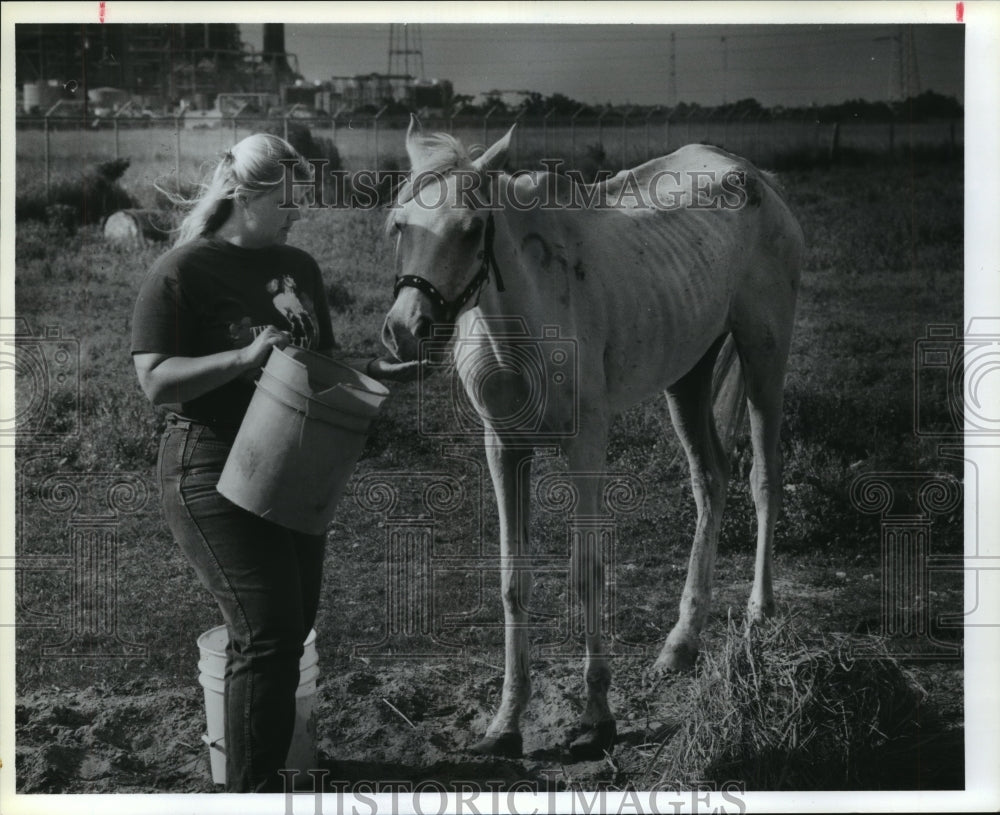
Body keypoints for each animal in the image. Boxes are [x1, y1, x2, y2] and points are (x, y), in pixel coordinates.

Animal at [380, 116, 804, 760]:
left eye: (472, 228)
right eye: (400, 223)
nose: (408, 330)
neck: (523, 319)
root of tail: (757, 176)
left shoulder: (586, 446)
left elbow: (586, 574)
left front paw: (598, 716)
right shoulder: (504, 447)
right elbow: (513, 581)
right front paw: (505, 723)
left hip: (764, 356)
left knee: (763, 479)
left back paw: (760, 612)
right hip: (688, 374)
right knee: (710, 481)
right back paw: (680, 643)